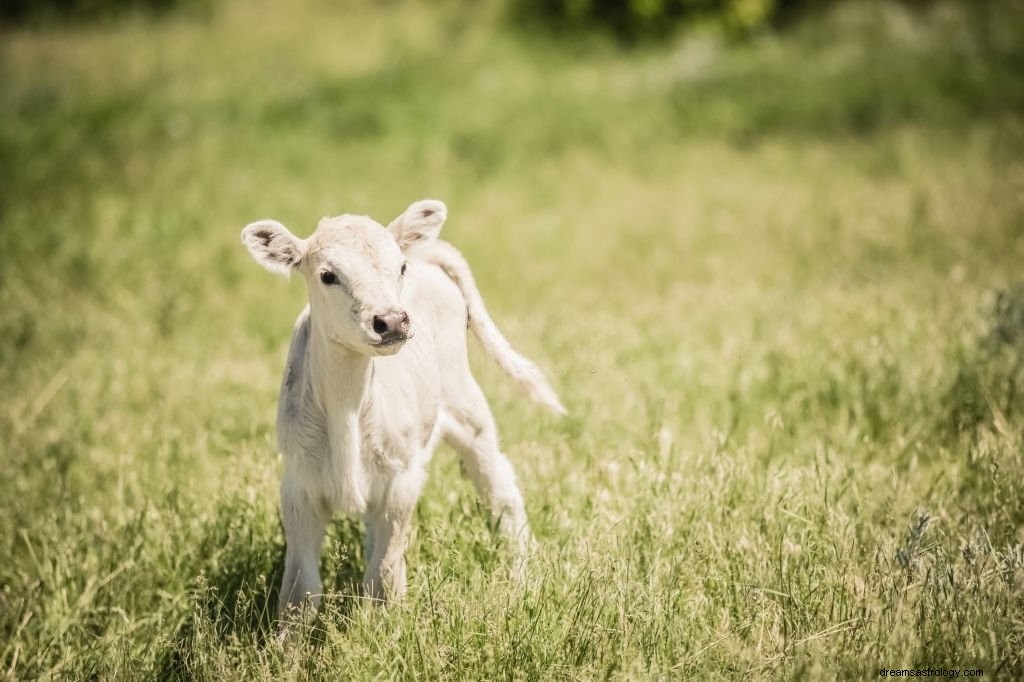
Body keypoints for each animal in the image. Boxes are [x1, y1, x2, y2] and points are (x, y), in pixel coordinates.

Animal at [240, 197, 569, 614]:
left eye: (399, 267)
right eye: (328, 276)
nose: (392, 321)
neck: (348, 406)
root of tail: (427, 256)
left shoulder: (401, 481)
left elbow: (384, 578)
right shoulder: (298, 485)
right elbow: (300, 590)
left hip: (467, 407)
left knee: (501, 489)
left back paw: (524, 573)